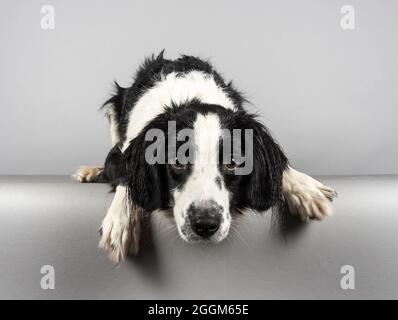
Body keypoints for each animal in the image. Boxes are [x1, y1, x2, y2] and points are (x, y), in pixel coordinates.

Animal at [74, 52, 336, 262]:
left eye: (233, 163)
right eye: (177, 161)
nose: (205, 225)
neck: (190, 98)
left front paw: (304, 188)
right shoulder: (121, 152)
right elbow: (125, 175)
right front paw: (122, 221)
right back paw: (90, 172)